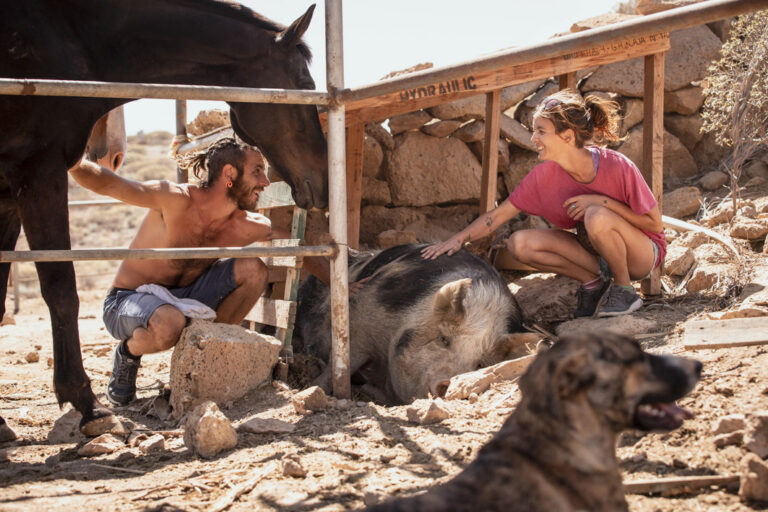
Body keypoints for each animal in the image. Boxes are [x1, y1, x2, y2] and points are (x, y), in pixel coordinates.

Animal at [0, 2, 328, 438]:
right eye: (303, 82)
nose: (324, 178)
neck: (77, 38)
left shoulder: (7, 194)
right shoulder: (39, 171)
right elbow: (61, 291)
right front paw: (87, 405)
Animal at [296, 244, 540, 404]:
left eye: (479, 363)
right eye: (443, 338)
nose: (448, 383)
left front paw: (369, 390)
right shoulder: (360, 320)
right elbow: (341, 365)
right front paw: (312, 388)